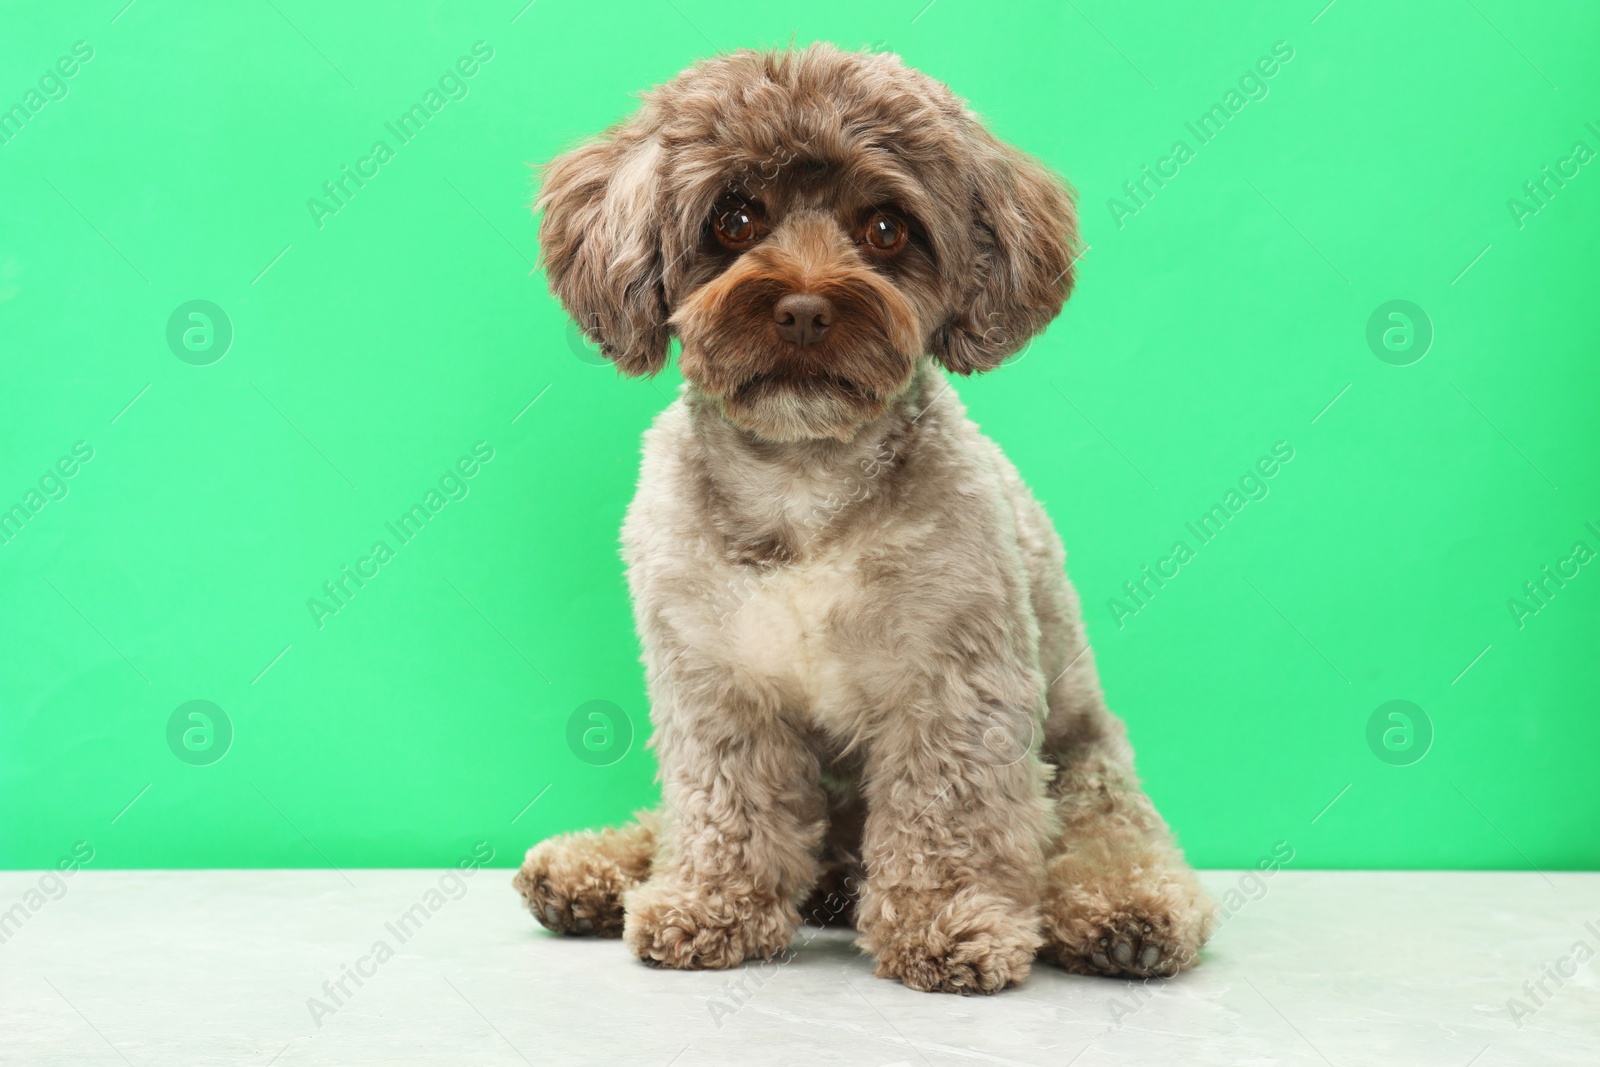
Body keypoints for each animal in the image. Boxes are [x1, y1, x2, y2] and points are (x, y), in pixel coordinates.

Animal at [515, 41, 1209, 991]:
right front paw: (711, 904)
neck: (803, 485)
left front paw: (947, 921)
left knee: (1107, 840)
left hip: (1086, 766)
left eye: (885, 228)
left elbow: (947, 810)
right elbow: (723, 806)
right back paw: (594, 869)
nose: (806, 307)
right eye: (735, 217)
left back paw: (1123, 914)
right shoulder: (715, 686)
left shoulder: (956, 684)